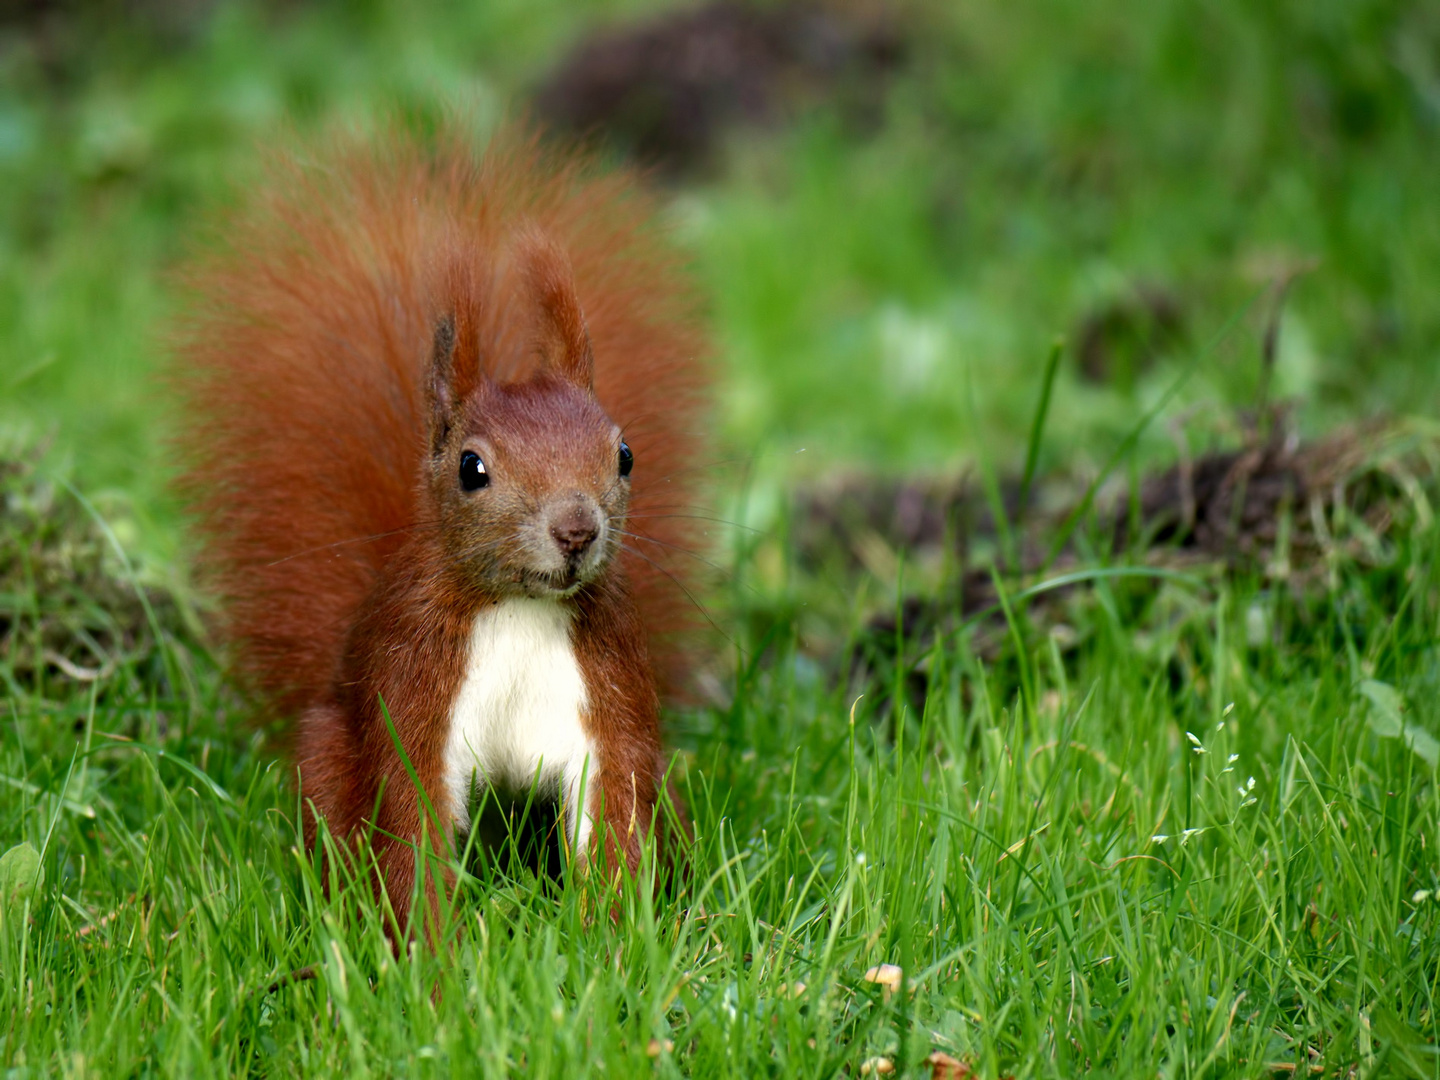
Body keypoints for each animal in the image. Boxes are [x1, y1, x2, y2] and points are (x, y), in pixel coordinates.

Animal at [168, 128, 708, 938]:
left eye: (625, 455)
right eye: (471, 467)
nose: (577, 530)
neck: (515, 607)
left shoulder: (607, 693)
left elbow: (613, 810)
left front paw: (613, 939)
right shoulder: (414, 684)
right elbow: (410, 821)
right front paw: (428, 953)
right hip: (328, 756)